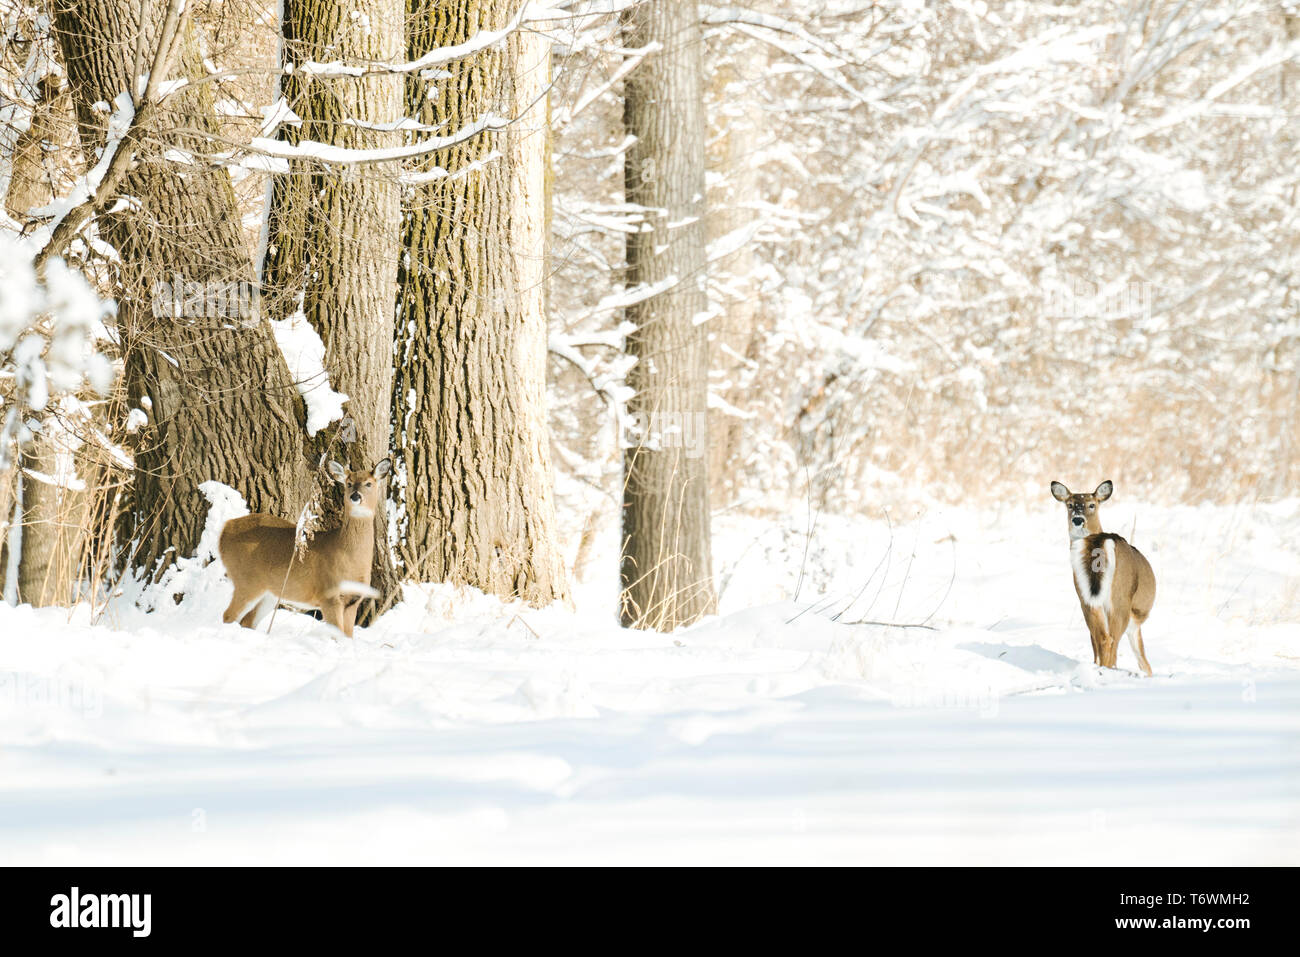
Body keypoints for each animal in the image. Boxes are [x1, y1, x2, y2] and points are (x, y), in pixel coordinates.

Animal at [219, 458, 391, 638]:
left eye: (369, 483)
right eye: (349, 483)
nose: (355, 496)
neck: (348, 556)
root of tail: (225, 529)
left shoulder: (353, 601)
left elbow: (348, 637)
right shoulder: (328, 595)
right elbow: (337, 636)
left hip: (270, 593)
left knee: (247, 621)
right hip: (246, 579)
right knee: (228, 615)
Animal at [1050, 480, 1157, 676]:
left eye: (1092, 504)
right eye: (1070, 505)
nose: (1078, 519)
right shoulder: (1133, 623)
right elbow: (1144, 662)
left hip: (1085, 598)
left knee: (1101, 637)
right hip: (1120, 599)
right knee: (1112, 639)